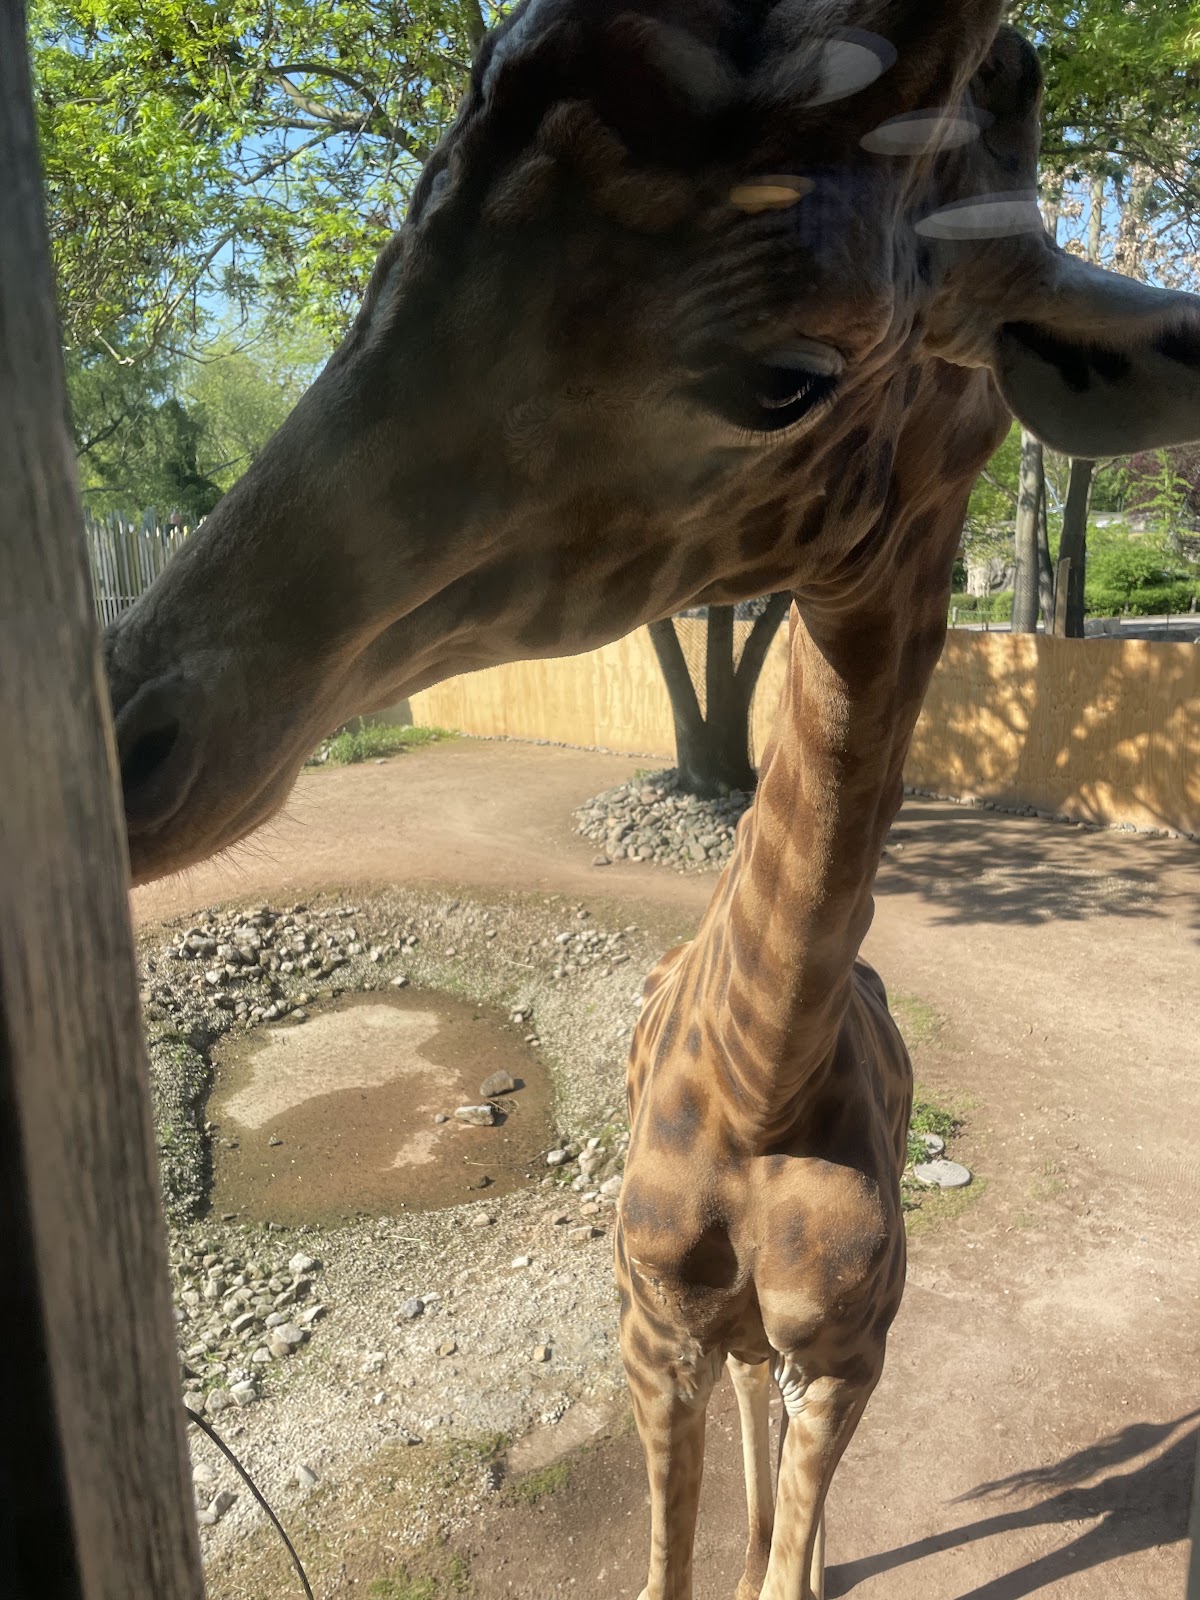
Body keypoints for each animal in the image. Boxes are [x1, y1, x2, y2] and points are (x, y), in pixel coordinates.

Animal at [101, 0, 1200, 1593]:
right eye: (407, 232)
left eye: (786, 378)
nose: (129, 727)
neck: (762, 1079)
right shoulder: (643, 1330)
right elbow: (667, 1561)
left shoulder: (855, 1351)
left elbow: (782, 1544)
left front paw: (794, 1557)